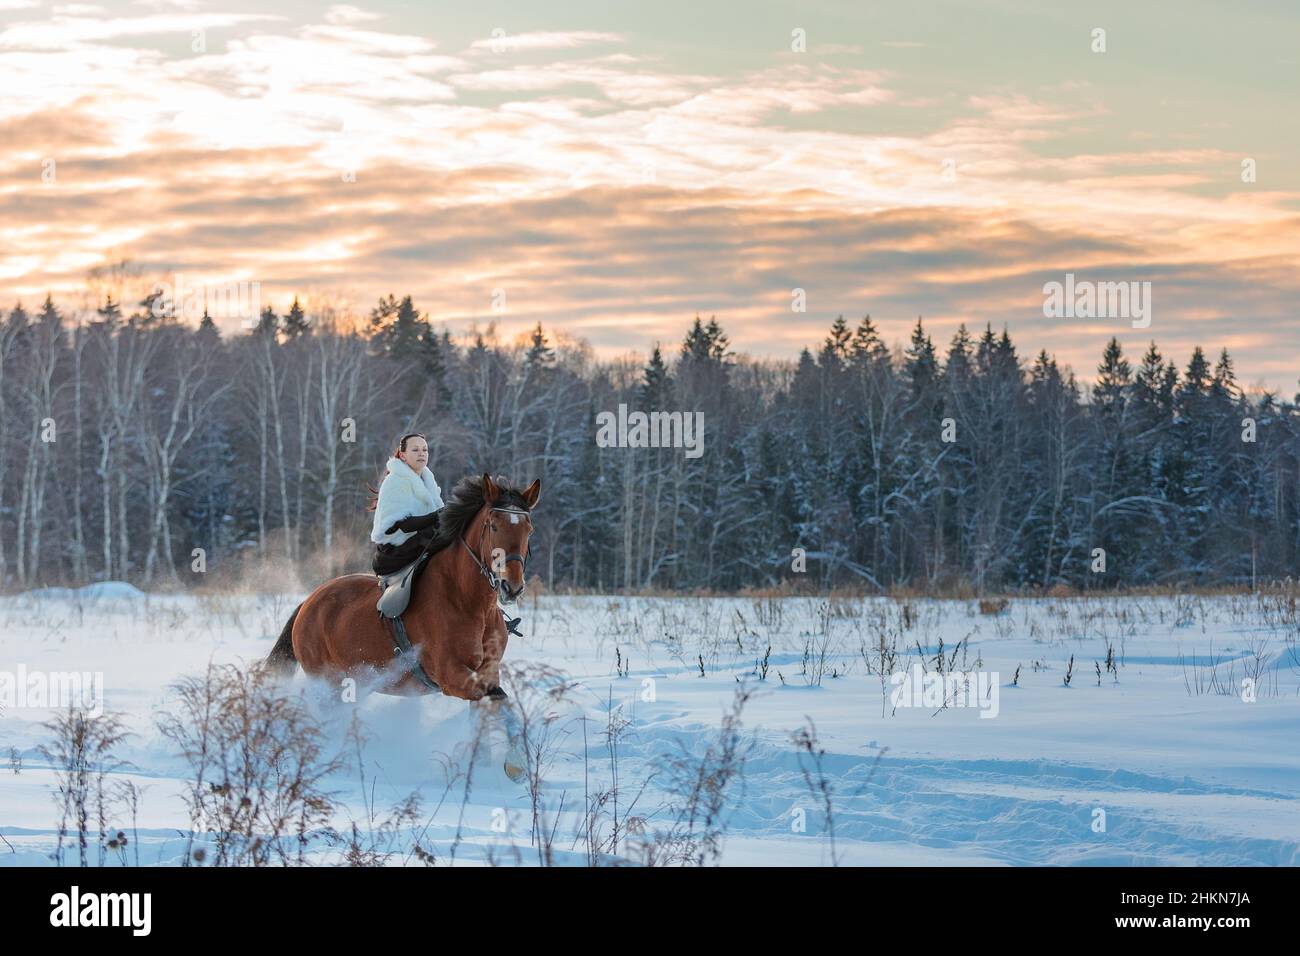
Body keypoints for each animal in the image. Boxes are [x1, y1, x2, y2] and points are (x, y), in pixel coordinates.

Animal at [263, 472, 539, 778]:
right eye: (493, 526)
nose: (512, 587)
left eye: (528, 529)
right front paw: (516, 763)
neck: (470, 603)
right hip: (327, 683)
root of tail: (307, 603)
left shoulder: (487, 669)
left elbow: (489, 707)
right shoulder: (451, 675)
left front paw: (482, 764)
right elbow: (501, 700)